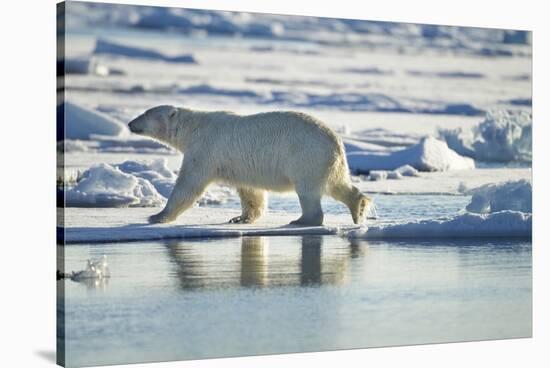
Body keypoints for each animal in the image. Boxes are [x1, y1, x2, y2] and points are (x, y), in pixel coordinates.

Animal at [129, 105, 370, 226]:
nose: (130, 123)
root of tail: (335, 140)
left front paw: (157, 216)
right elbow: (251, 192)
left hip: (306, 156)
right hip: (330, 161)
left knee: (308, 191)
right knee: (338, 184)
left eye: (145, 113)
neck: (193, 127)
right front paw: (240, 218)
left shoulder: (204, 150)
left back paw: (302, 220)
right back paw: (358, 207)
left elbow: (189, 184)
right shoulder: (241, 165)